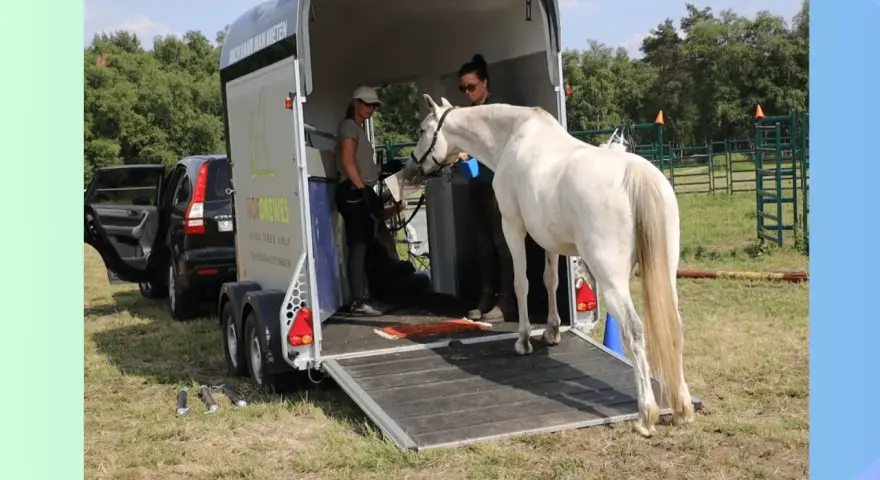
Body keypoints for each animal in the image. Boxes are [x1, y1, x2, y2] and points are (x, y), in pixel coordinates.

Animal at [406, 94, 695, 437]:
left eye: (422, 130)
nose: (414, 167)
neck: (513, 137)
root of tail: (637, 175)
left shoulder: (513, 227)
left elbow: (522, 283)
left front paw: (523, 341)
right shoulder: (549, 239)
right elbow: (550, 281)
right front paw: (552, 332)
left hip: (612, 280)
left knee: (634, 330)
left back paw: (645, 414)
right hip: (665, 273)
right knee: (675, 326)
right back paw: (683, 407)